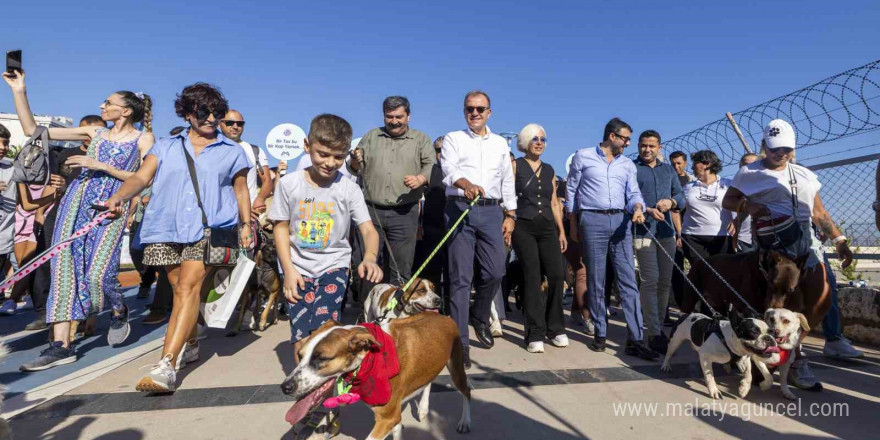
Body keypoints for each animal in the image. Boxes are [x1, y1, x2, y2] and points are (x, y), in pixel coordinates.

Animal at [284, 314, 474, 438]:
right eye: (299, 355)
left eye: (322, 358)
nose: (285, 387)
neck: (367, 357)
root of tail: (443, 315)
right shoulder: (392, 418)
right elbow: (397, 428)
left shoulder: (387, 418)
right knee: (428, 380)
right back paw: (423, 407)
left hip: (456, 368)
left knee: (466, 391)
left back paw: (465, 422)